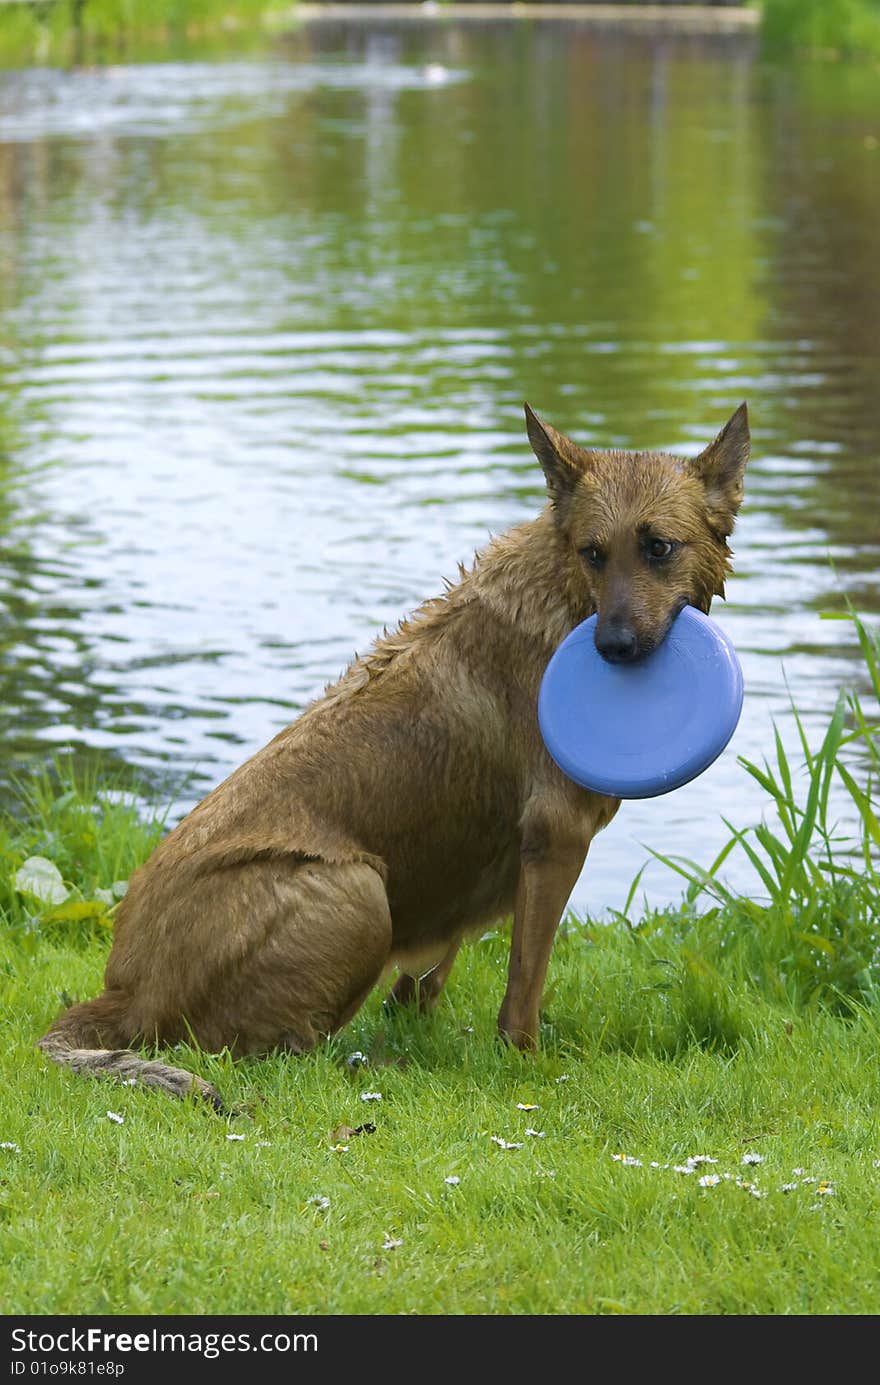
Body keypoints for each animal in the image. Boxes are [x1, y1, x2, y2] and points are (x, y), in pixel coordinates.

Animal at [37, 401, 748, 1102]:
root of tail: (125, 991)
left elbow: (428, 980)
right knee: (267, 1055)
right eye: (593, 553)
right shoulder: (556, 837)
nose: (613, 648)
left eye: (658, 548)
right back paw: (370, 1065)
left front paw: (420, 1028)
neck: (565, 596)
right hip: (355, 889)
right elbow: (522, 989)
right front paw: (519, 1062)